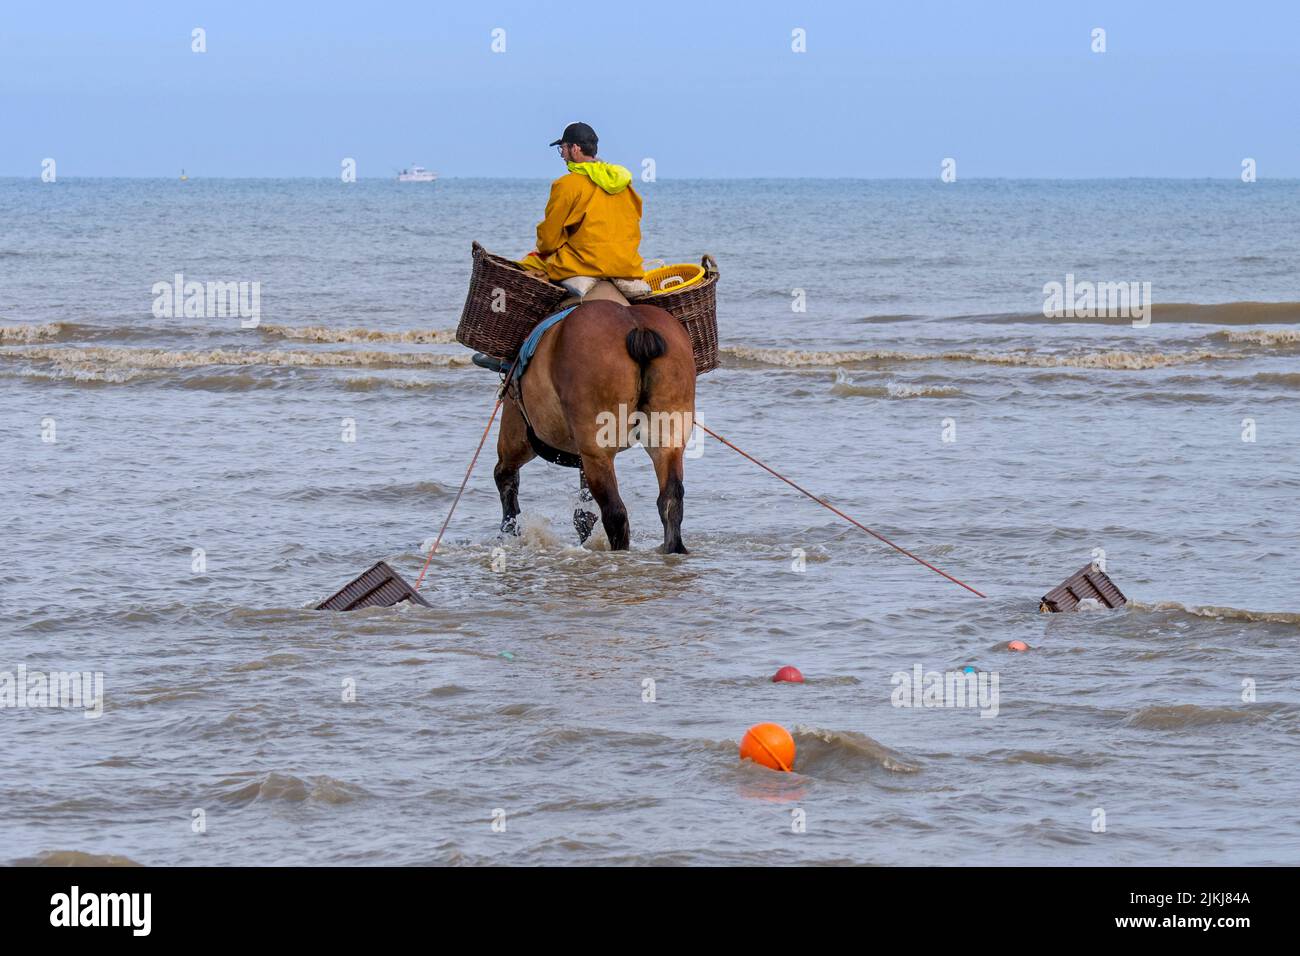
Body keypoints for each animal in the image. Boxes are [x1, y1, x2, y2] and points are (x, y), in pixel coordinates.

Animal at [493, 291, 696, 554]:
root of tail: (637, 326)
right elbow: (584, 512)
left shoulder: (518, 427)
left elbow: (506, 477)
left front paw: (509, 529)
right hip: (667, 441)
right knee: (670, 500)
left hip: (593, 450)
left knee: (615, 511)